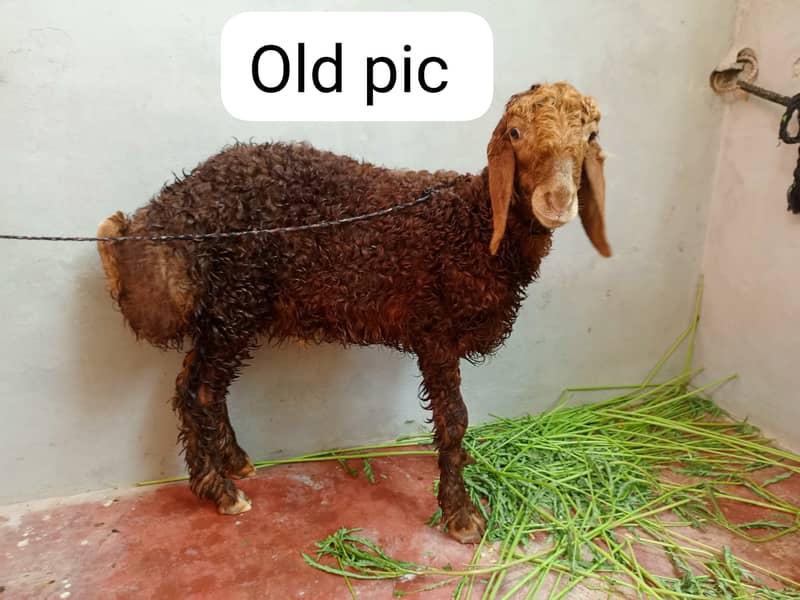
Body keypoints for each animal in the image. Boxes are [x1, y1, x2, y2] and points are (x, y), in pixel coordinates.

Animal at [96, 81, 611, 544]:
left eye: (589, 137)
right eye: (516, 134)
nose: (558, 201)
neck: (472, 223)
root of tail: (170, 212)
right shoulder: (435, 330)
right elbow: (454, 420)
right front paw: (461, 514)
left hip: (226, 312)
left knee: (199, 385)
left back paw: (232, 464)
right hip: (233, 303)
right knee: (198, 390)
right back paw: (219, 490)